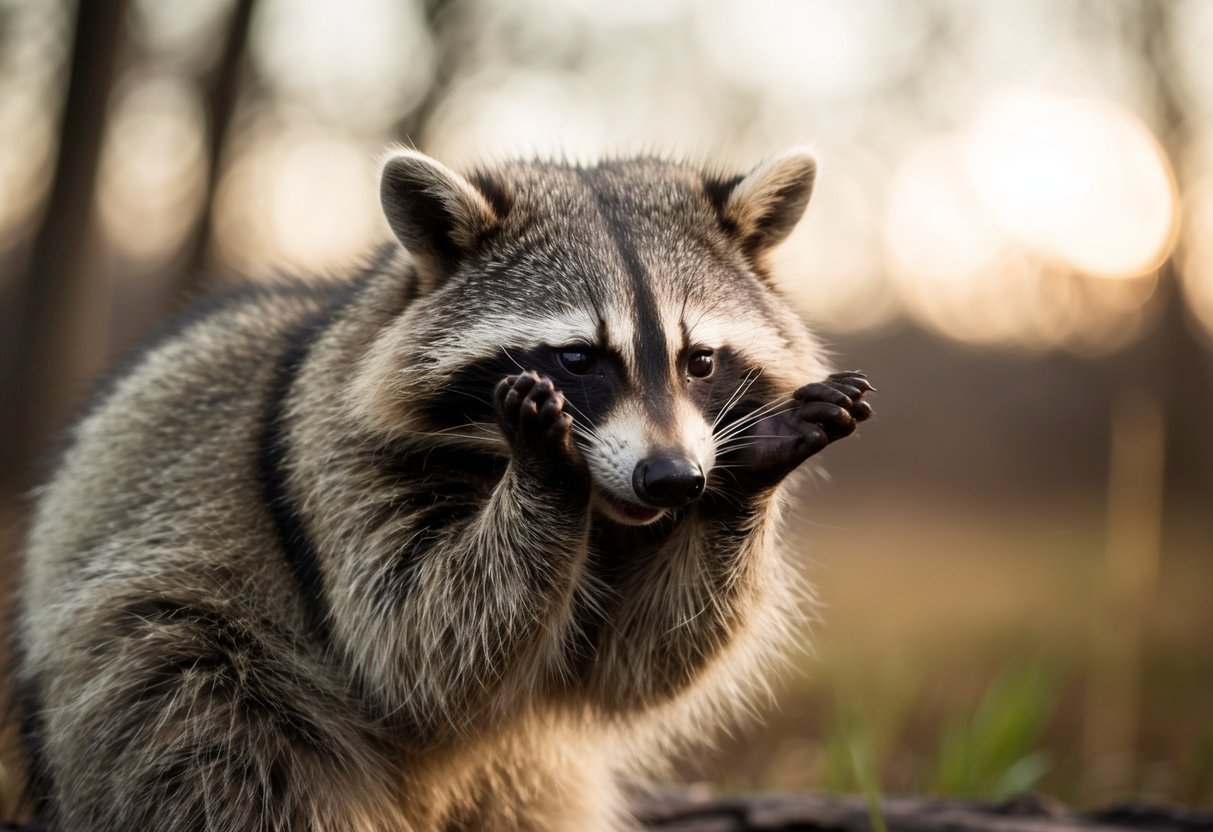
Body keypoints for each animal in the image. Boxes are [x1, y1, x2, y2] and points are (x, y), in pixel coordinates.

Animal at [12, 147, 873, 831]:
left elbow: (633, 658)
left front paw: (746, 476)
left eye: (700, 362)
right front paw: (544, 469)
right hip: (177, 667)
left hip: (520, 773)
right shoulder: (331, 459)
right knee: (216, 750)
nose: (672, 479)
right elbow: (416, 639)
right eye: (577, 359)